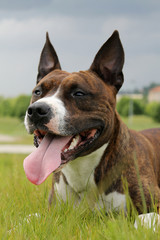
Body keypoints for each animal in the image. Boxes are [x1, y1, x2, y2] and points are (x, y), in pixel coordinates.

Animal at [23, 31, 160, 223]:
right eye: (38, 92)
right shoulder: (52, 210)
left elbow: (143, 220)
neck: (82, 169)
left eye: (79, 93)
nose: (37, 110)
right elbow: (28, 218)